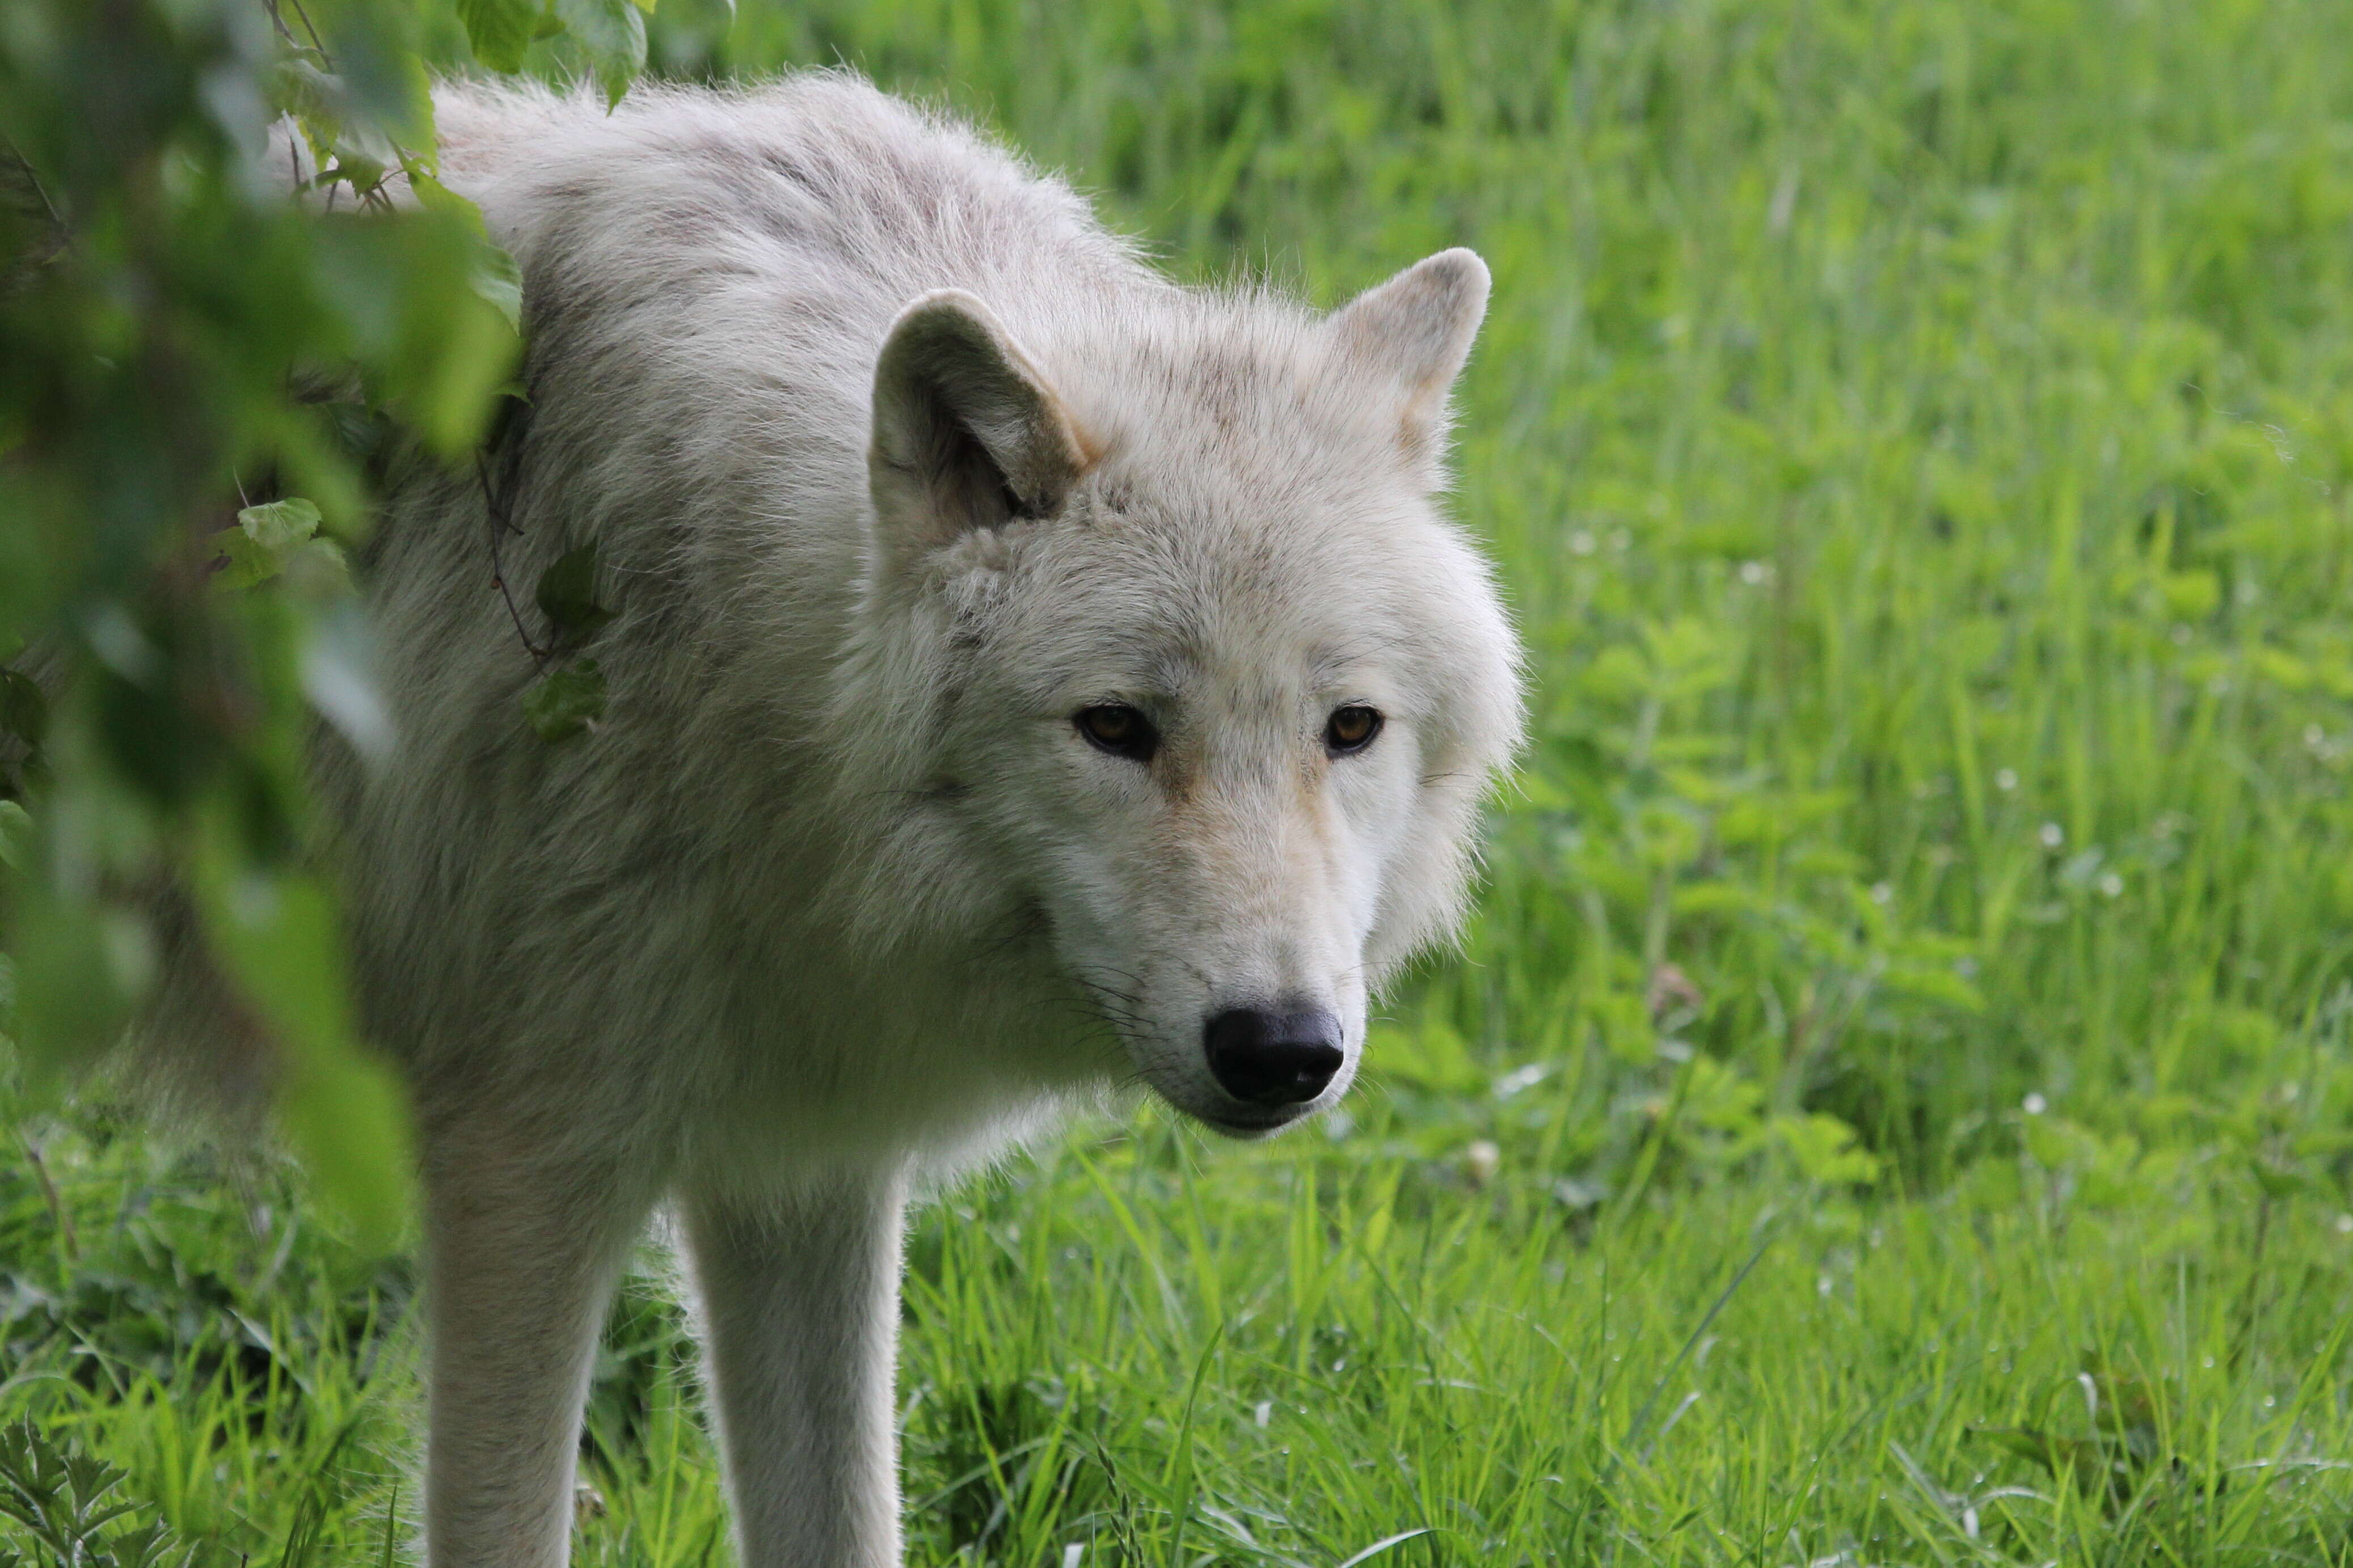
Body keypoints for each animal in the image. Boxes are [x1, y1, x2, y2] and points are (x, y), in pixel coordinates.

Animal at [289, 76, 1524, 1568]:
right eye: (1116, 726)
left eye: (1347, 728)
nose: (1282, 1049)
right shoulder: (518, 1177)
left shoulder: (801, 1166)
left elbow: (841, 1518)